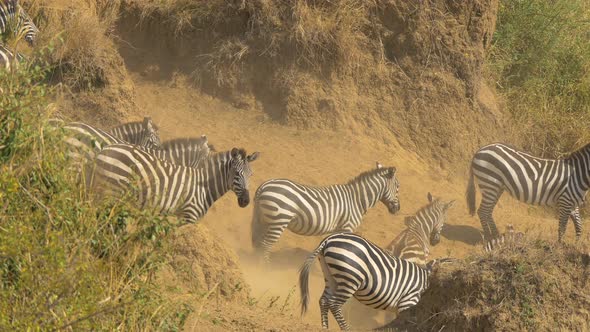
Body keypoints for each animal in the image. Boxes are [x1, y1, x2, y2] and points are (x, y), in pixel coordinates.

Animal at [86, 143, 260, 223]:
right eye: (237, 174)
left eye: (251, 175)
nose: (246, 201)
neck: (204, 187)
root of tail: (106, 149)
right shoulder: (186, 218)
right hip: (111, 190)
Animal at [250, 162, 402, 264]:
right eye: (398, 187)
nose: (398, 209)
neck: (357, 200)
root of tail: (265, 185)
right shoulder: (347, 226)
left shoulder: (338, 229)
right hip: (279, 220)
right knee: (265, 245)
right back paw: (265, 269)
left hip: (263, 219)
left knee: (258, 243)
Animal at [300, 232, 454, 330]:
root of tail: (330, 238)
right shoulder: (408, 301)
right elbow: (405, 322)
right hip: (350, 278)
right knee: (334, 303)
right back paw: (346, 329)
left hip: (331, 276)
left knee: (324, 301)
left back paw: (324, 328)